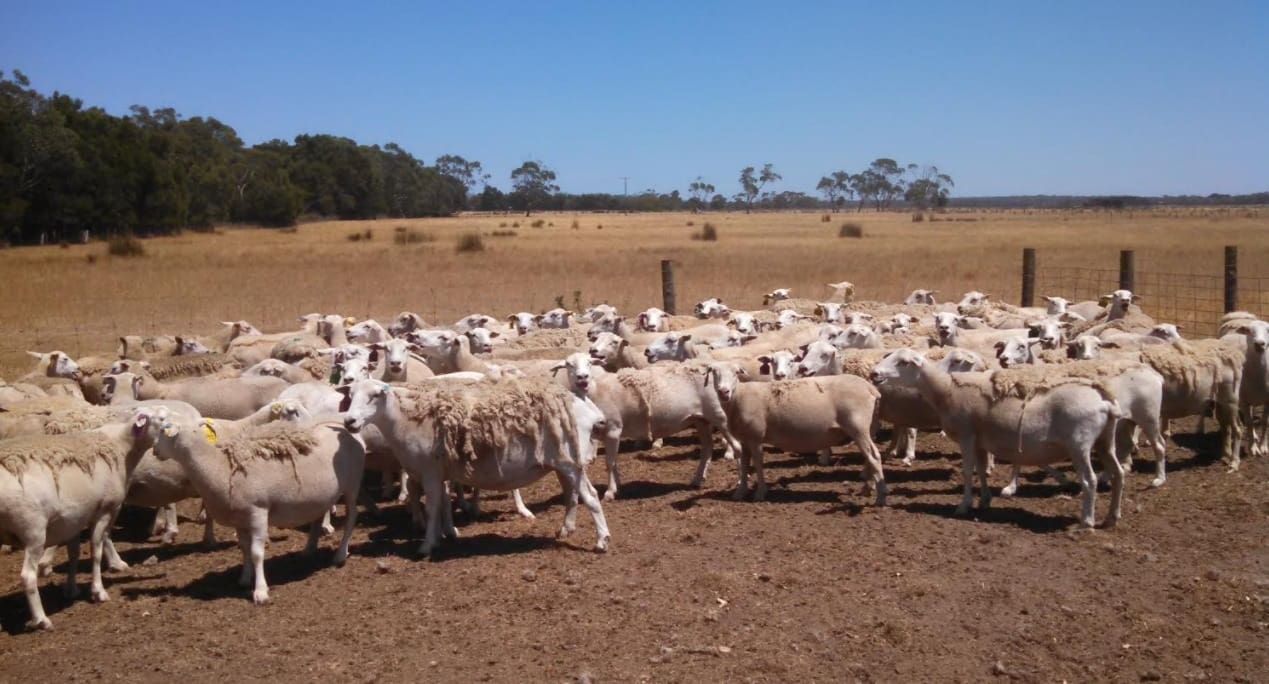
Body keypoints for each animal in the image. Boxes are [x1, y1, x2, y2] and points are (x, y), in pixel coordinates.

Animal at [0, 406, 163, 631]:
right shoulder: (103, 511)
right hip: (34, 531)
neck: (121, 446)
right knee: (28, 577)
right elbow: (96, 552)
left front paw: (71, 589)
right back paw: (42, 620)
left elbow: (74, 554)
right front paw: (98, 591)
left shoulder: (74, 519)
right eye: (161, 419)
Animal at [705, 357, 883, 502]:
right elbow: (744, 464)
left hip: (858, 427)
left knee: (874, 456)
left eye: (735, 373)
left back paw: (881, 497)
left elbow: (758, 464)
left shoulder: (756, 436)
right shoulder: (745, 438)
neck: (739, 397)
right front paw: (740, 492)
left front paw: (760, 493)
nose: (723, 391)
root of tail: (870, 389)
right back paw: (867, 489)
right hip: (867, 428)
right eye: (714, 372)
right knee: (870, 458)